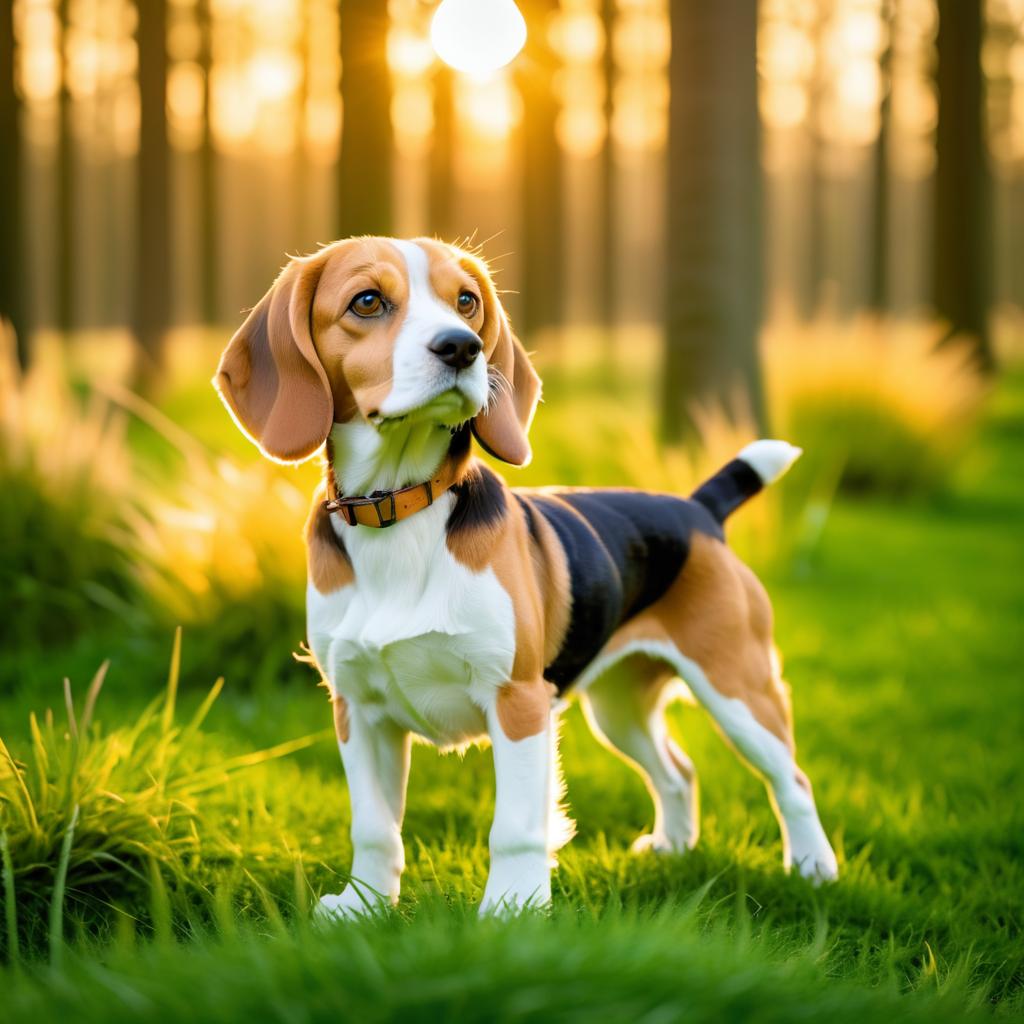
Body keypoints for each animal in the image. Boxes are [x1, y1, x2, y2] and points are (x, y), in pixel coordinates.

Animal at [216, 239, 839, 921]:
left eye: (467, 301)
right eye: (368, 301)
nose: (462, 347)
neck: (400, 510)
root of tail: (697, 508)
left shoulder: (518, 701)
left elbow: (515, 827)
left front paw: (512, 909)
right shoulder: (358, 708)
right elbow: (374, 827)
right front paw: (363, 906)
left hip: (737, 689)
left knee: (792, 779)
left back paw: (813, 868)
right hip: (618, 706)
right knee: (678, 771)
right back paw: (673, 848)